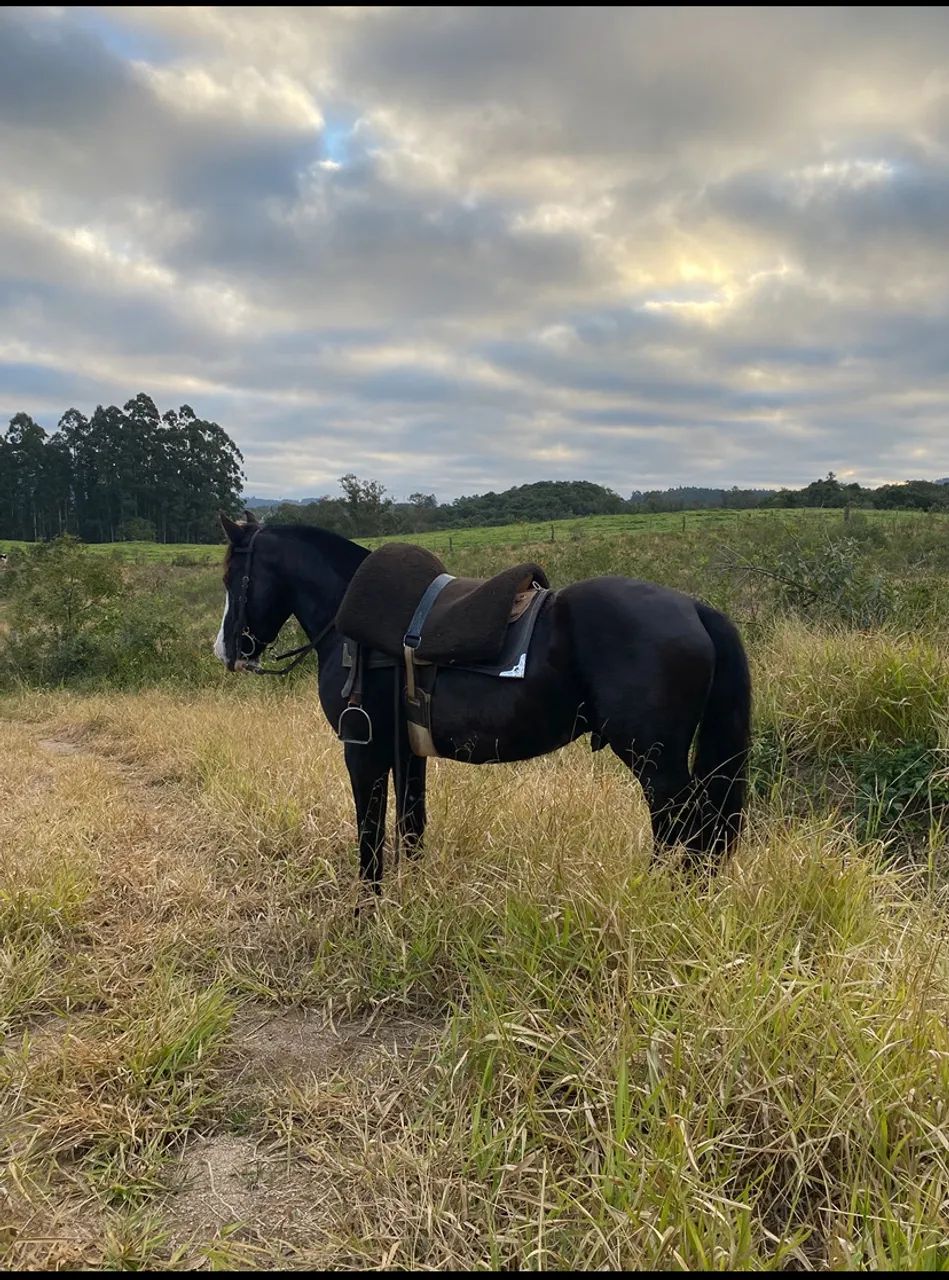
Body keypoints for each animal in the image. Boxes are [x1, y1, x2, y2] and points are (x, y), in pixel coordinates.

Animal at [214, 511, 751, 892]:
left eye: (230, 578)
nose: (226, 649)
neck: (347, 628)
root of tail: (694, 608)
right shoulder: (407, 752)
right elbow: (411, 826)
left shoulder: (362, 752)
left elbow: (370, 839)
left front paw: (368, 912)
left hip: (655, 762)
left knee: (686, 829)